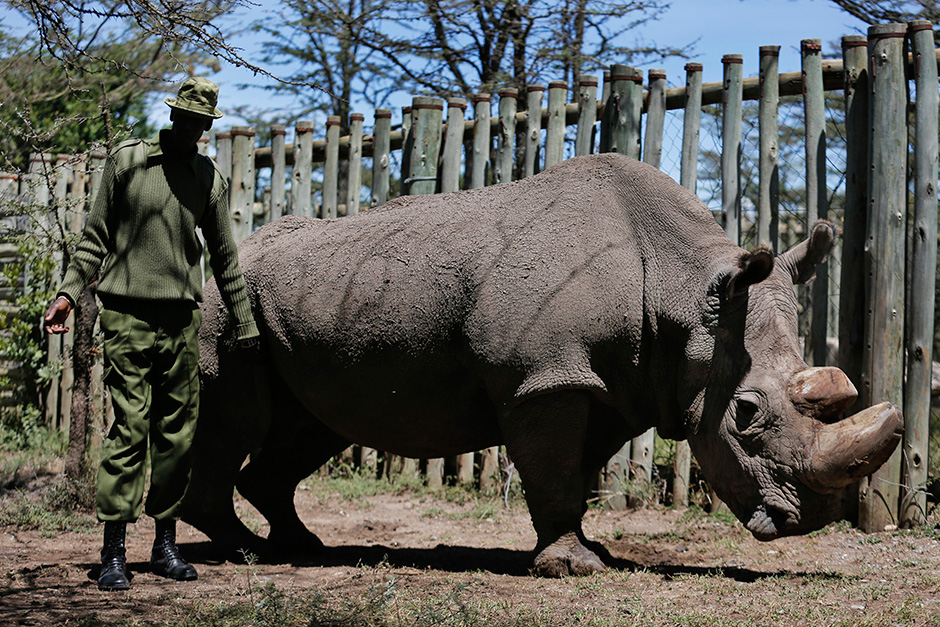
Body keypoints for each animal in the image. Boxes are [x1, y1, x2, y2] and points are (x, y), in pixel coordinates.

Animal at [182, 153, 896, 580]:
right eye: (746, 414)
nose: (815, 519)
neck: (685, 290)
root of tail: (242, 248)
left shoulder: (610, 386)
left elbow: (572, 477)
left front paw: (589, 553)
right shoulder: (544, 380)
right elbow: (552, 473)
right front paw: (575, 568)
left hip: (315, 300)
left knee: (312, 428)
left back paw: (301, 548)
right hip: (228, 305)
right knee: (235, 418)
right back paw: (243, 551)